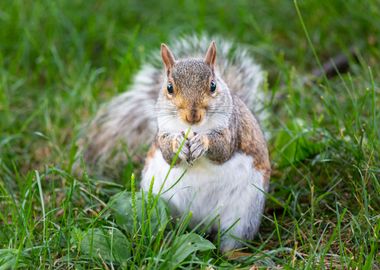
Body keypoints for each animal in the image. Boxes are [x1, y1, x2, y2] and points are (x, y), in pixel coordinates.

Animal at [78, 34, 272, 252]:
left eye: (213, 85)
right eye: (169, 87)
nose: (192, 115)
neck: (193, 128)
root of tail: (200, 223)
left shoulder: (232, 129)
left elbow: (223, 149)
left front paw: (201, 142)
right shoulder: (162, 133)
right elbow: (168, 155)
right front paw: (178, 143)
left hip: (243, 214)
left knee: (230, 244)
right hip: (160, 203)